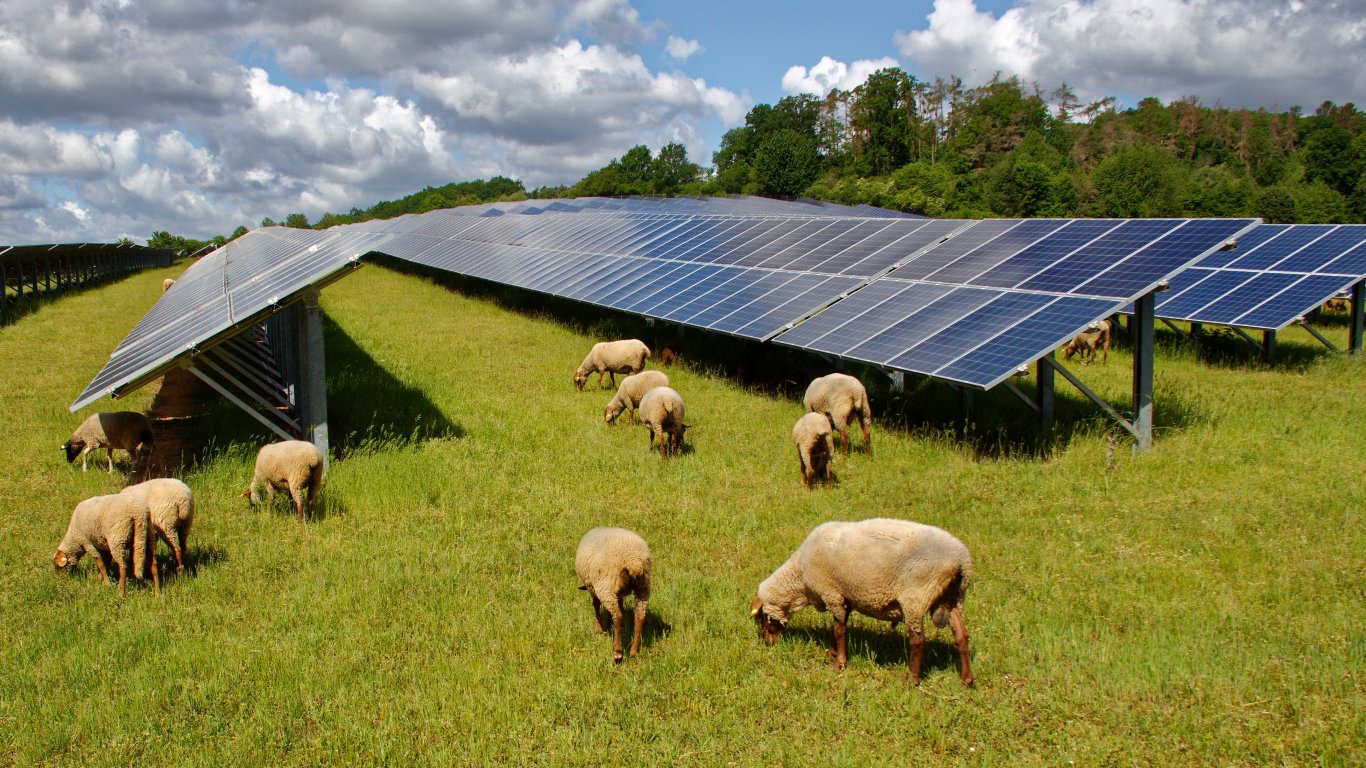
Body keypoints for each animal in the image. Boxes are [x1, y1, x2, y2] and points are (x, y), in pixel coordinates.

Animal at [573, 522, 652, 661]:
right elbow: (618, 604)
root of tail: (634, 561)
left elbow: (596, 605)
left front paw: (599, 628)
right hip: (643, 587)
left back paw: (617, 651)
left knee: (618, 616)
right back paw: (634, 651)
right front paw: (607, 622)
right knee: (639, 616)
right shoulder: (618, 593)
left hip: (606, 586)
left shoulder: (593, 588)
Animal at [754, 516, 978, 683]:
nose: (768, 643)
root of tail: (962, 560)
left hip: (916, 596)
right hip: (954, 597)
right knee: (961, 635)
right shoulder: (844, 597)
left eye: (762, 618)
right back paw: (966, 679)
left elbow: (838, 630)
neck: (799, 576)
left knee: (917, 640)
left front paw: (839, 663)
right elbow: (839, 627)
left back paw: (912, 679)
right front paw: (833, 653)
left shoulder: (832, 593)